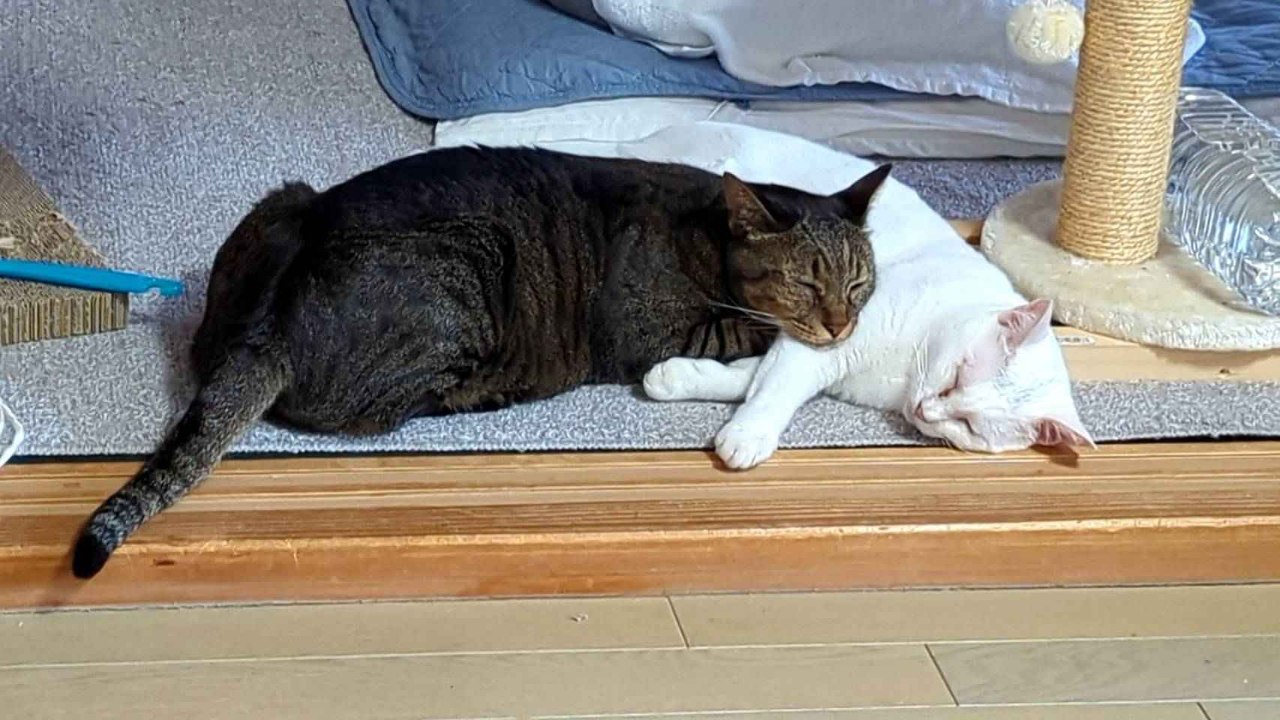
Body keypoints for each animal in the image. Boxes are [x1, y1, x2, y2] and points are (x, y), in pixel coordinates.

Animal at [72, 146, 891, 578]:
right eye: (808, 283)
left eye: (858, 282)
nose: (845, 320)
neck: (708, 238)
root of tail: (265, 324)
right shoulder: (654, 330)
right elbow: (747, 334)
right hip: (473, 261)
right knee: (373, 409)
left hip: (283, 202)